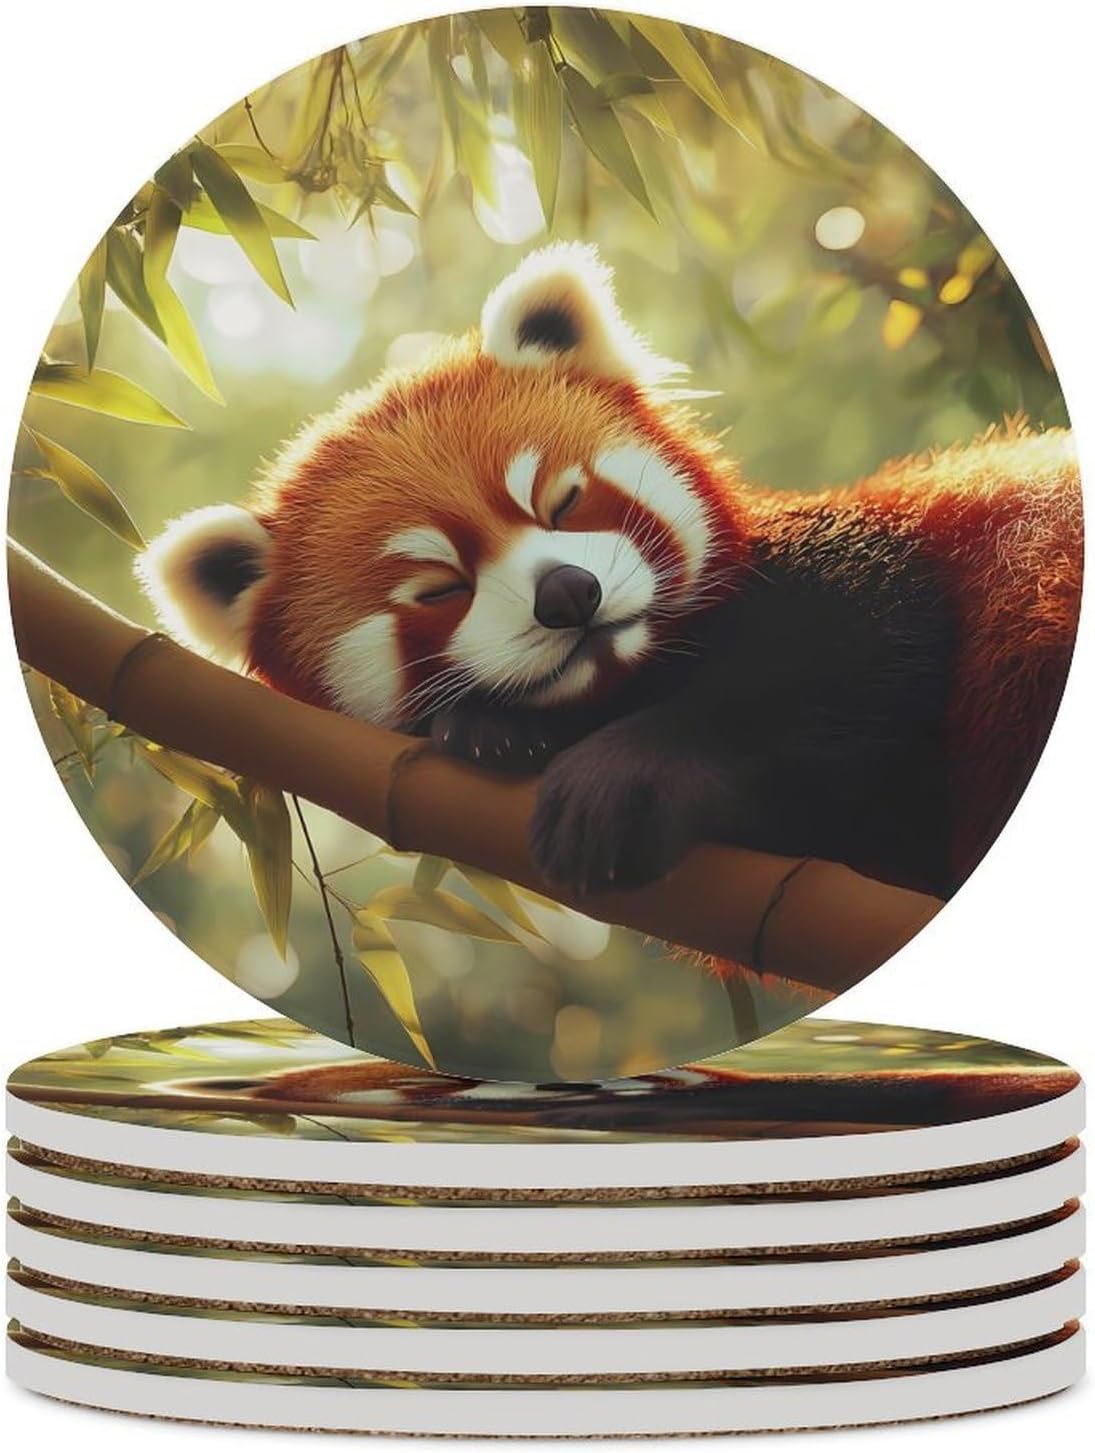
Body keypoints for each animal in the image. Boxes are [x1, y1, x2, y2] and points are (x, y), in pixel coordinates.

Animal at [137, 243, 1082, 903]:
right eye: (440, 589)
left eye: (560, 502)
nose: (567, 594)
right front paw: (490, 729)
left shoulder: (875, 570)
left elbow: (845, 672)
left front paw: (621, 777)